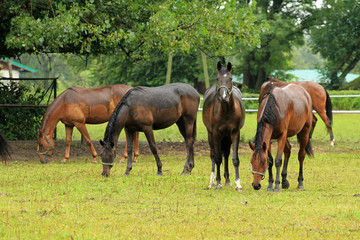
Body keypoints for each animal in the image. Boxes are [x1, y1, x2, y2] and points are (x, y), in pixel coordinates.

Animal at [201, 62, 246, 191]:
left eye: (230, 78)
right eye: (217, 78)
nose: (224, 97)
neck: (226, 111)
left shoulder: (235, 133)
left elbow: (234, 159)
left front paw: (238, 184)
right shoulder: (216, 134)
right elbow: (217, 158)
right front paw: (218, 183)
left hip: (226, 137)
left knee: (226, 154)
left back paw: (228, 180)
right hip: (211, 135)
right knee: (213, 155)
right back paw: (212, 182)